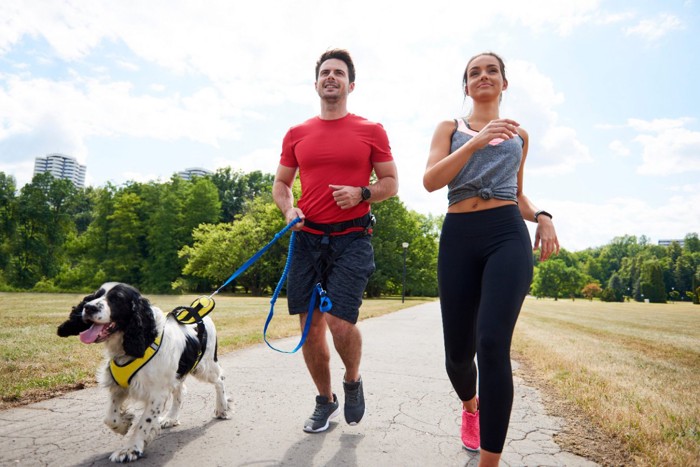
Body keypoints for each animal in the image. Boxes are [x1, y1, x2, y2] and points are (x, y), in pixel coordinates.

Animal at [57, 284, 231, 462]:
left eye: (117, 298)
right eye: (95, 295)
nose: (88, 307)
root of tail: (200, 315)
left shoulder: (156, 393)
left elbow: (144, 423)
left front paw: (130, 449)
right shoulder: (120, 386)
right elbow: (110, 417)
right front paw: (124, 424)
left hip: (204, 366)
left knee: (220, 379)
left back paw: (222, 408)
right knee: (180, 391)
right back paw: (171, 418)